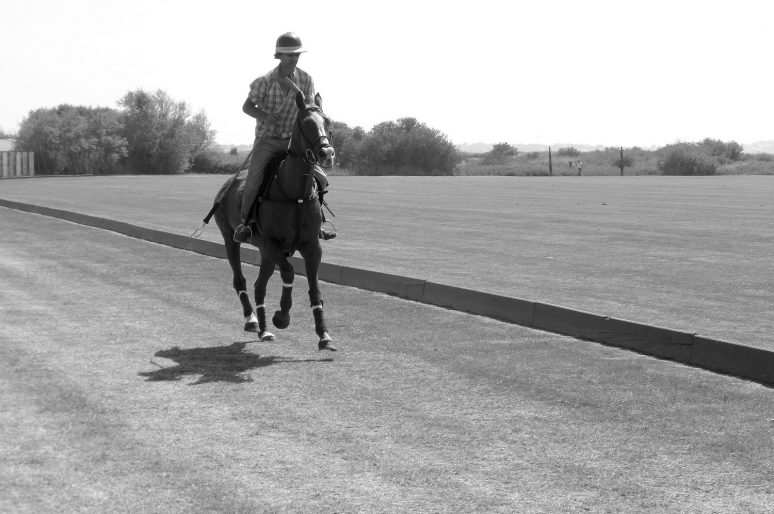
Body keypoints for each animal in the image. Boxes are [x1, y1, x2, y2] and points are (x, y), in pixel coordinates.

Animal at [206, 90, 336, 350]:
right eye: (304, 123)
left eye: (327, 121)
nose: (327, 154)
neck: (295, 194)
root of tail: (227, 183)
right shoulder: (271, 243)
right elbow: (288, 272)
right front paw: (282, 317)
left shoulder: (311, 246)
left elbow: (314, 288)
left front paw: (324, 335)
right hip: (231, 239)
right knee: (240, 280)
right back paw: (253, 321)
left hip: (265, 253)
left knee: (259, 286)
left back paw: (264, 330)